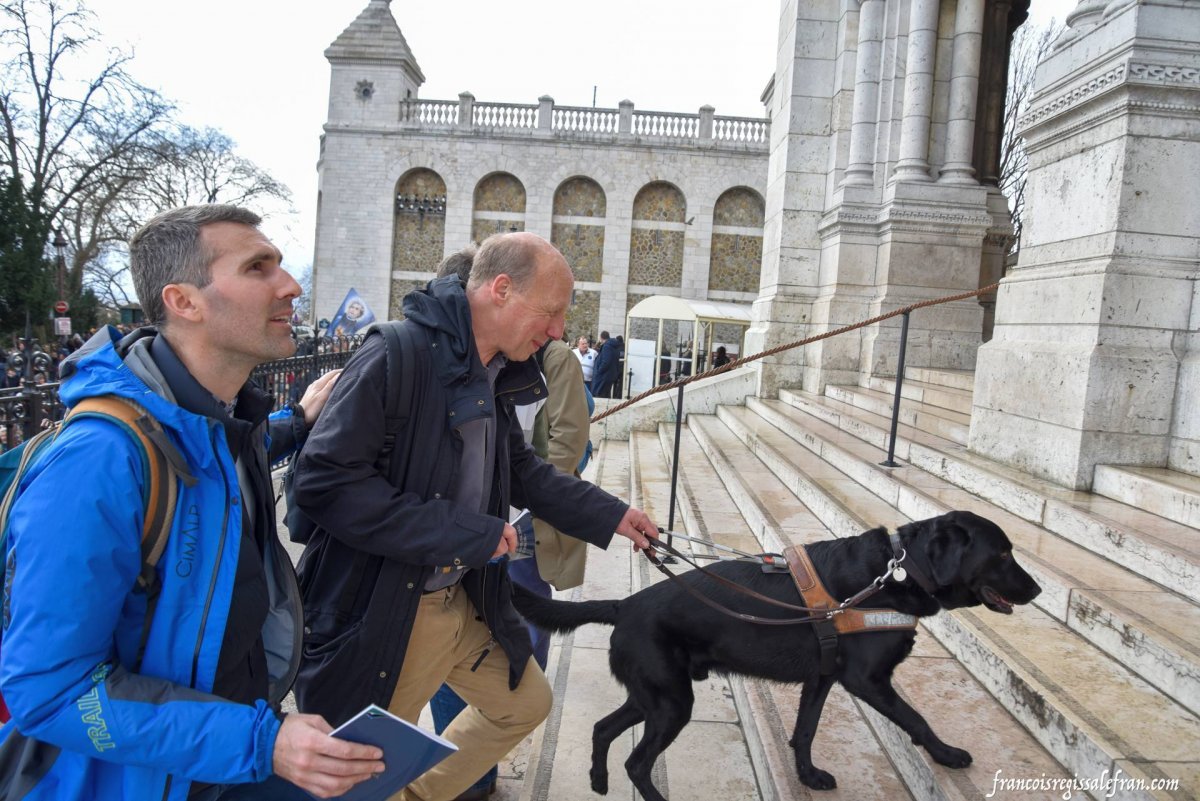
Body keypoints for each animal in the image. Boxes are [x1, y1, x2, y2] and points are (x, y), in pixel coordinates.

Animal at [511, 510, 1046, 796]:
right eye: (1002, 553)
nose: (1039, 590)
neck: (898, 572)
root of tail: (624, 604)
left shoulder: (822, 679)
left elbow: (805, 730)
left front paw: (807, 775)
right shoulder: (868, 680)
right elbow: (916, 718)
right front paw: (947, 754)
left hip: (654, 696)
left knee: (604, 729)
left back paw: (598, 782)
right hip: (671, 703)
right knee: (637, 764)